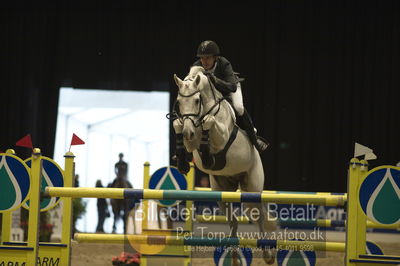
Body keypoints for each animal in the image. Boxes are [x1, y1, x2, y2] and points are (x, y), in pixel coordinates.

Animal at [170, 66, 276, 264]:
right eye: (179, 102)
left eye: (197, 100)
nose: (188, 132)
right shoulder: (191, 140)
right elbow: (177, 124)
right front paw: (185, 160)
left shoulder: (221, 135)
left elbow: (210, 123)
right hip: (221, 191)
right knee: (233, 222)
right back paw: (234, 257)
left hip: (252, 187)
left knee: (258, 217)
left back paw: (267, 255)